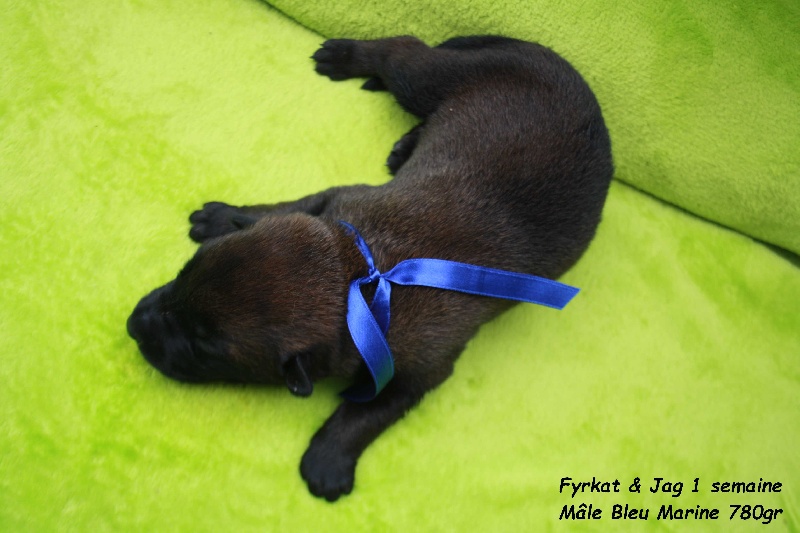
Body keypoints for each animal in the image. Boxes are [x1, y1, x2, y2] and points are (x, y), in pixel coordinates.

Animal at [127, 35, 613, 501]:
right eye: (185, 272)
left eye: (203, 349)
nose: (133, 325)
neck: (359, 274)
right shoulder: (334, 202)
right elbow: (284, 207)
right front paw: (225, 217)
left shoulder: (421, 371)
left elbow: (366, 412)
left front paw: (327, 457)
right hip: (429, 81)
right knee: (403, 50)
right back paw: (359, 75)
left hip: (430, 80)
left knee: (406, 50)